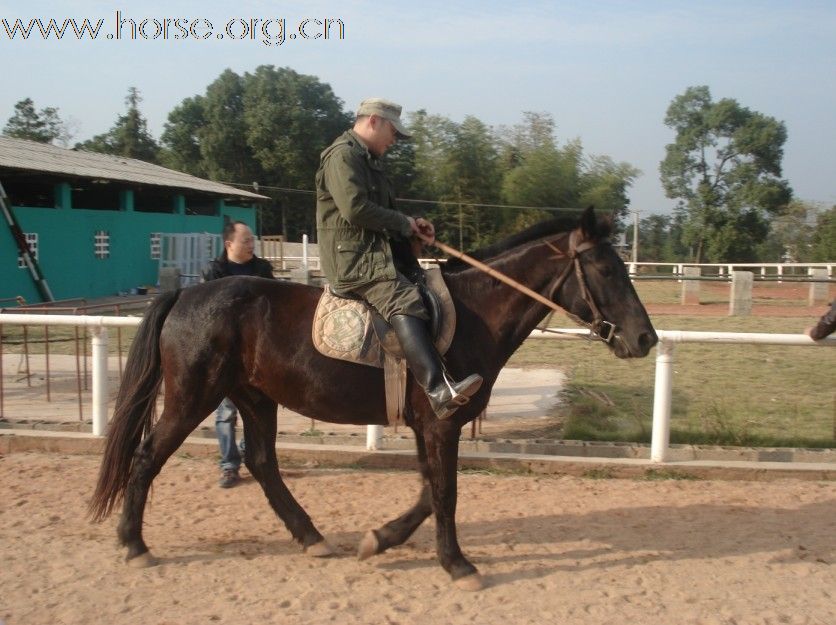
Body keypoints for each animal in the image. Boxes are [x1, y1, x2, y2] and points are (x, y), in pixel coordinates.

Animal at [88, 208, 656, 588]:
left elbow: (429, 491)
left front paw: (381, 538)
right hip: (194, 396)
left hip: (253, 397)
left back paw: (311, 537)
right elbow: (445, 492)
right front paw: (457, 564)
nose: (646, 338)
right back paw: (135, 544)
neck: (476, 310)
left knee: (264, 462)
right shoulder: (441, 422)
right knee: (148, 457)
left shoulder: (430, 426)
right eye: (607, 270)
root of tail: (186, 292)